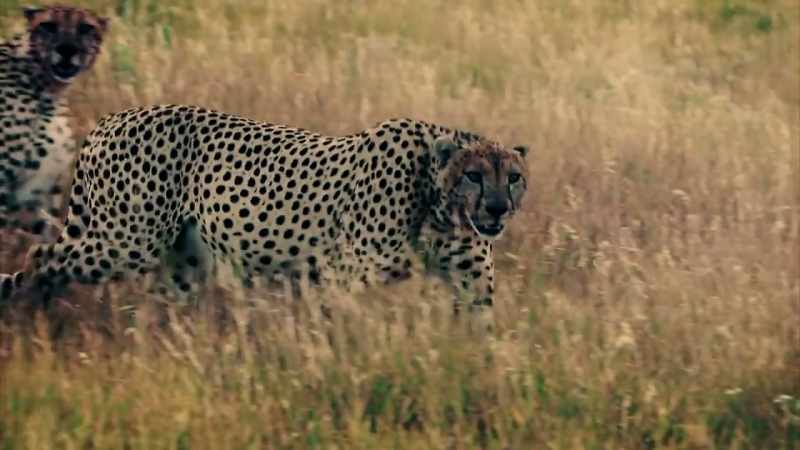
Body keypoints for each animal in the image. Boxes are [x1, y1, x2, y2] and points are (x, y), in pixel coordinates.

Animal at [1, 105, 529, 312]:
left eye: (514, 177)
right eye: (474, 175)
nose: (498, 208)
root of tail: (113, 118)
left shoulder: (472, 285)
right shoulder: (345, 277)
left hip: (181, 262)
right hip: (126, 243)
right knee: (41, 258)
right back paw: (35, 309)